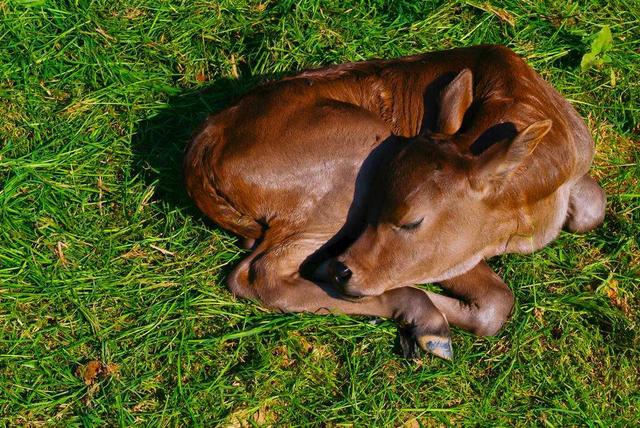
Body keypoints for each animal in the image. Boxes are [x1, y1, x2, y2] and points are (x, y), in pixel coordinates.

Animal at [184, 46, 604, 362]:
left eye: (411, 221)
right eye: (377, 206)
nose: (341, 270)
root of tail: (207, 137)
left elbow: (593, 206)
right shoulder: (449, 252)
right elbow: (496, 300)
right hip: (352, 163)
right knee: (261, 276)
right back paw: (422, 315)